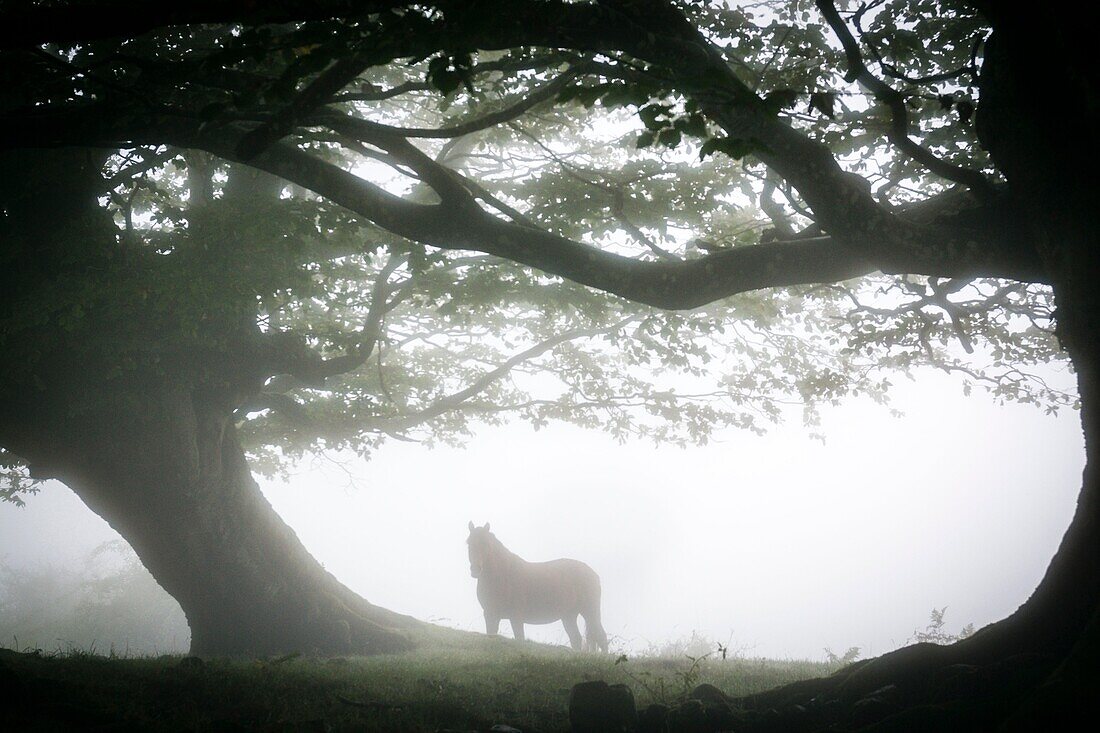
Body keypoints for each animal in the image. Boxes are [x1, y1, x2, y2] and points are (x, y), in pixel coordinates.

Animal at [466, 519, 611, 651]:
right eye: (469, 543)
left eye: (486, 544)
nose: (475, 570)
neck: (502, 576)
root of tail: (594, 575)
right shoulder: (490, 615)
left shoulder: (516, 617)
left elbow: (520, 638)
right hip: (569, 616)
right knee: (576, 639)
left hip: (590, 612)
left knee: (601, 638)